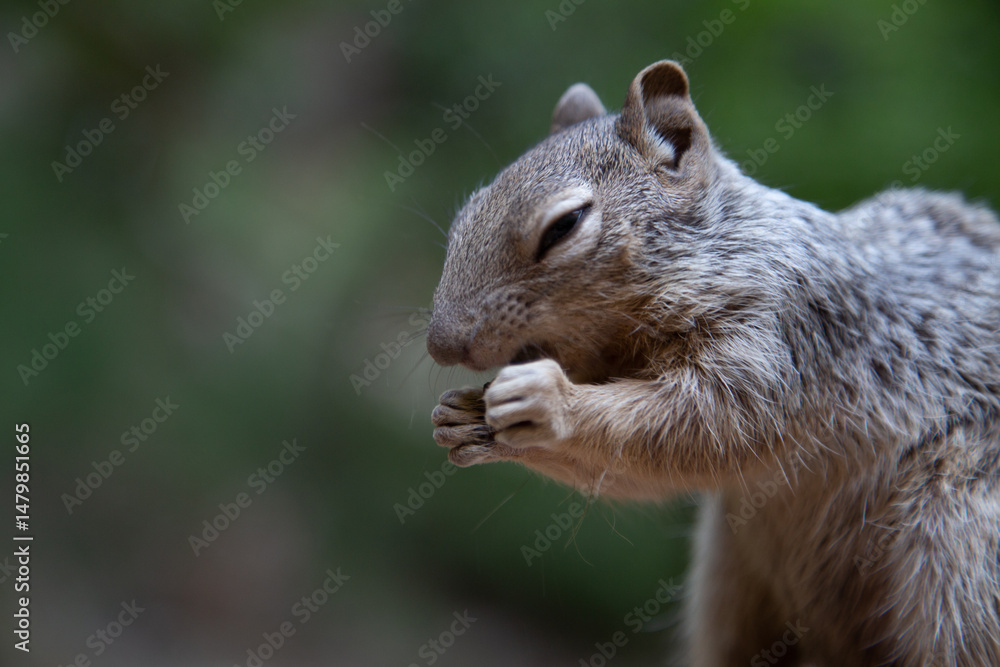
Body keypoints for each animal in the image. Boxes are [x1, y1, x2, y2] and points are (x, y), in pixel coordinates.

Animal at [426, 60, 1000, 666]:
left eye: (566, 225)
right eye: (466, 214)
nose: (441, 345)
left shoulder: (780, 341)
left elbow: (701, 428)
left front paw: (549, 402)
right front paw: (461, 419)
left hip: (957, 553)